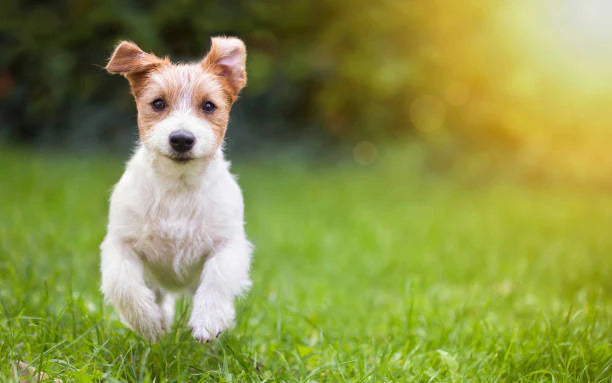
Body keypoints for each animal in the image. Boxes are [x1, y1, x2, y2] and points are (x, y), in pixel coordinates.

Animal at [99, 36, 252, 342]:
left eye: (208, 106)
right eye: (158, 103)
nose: (182, 139)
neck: (178, 186)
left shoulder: (228, 244)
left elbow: (217, 278)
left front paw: (209, 320)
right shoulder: (120, 245)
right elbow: (126, 286)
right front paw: (148, 323)